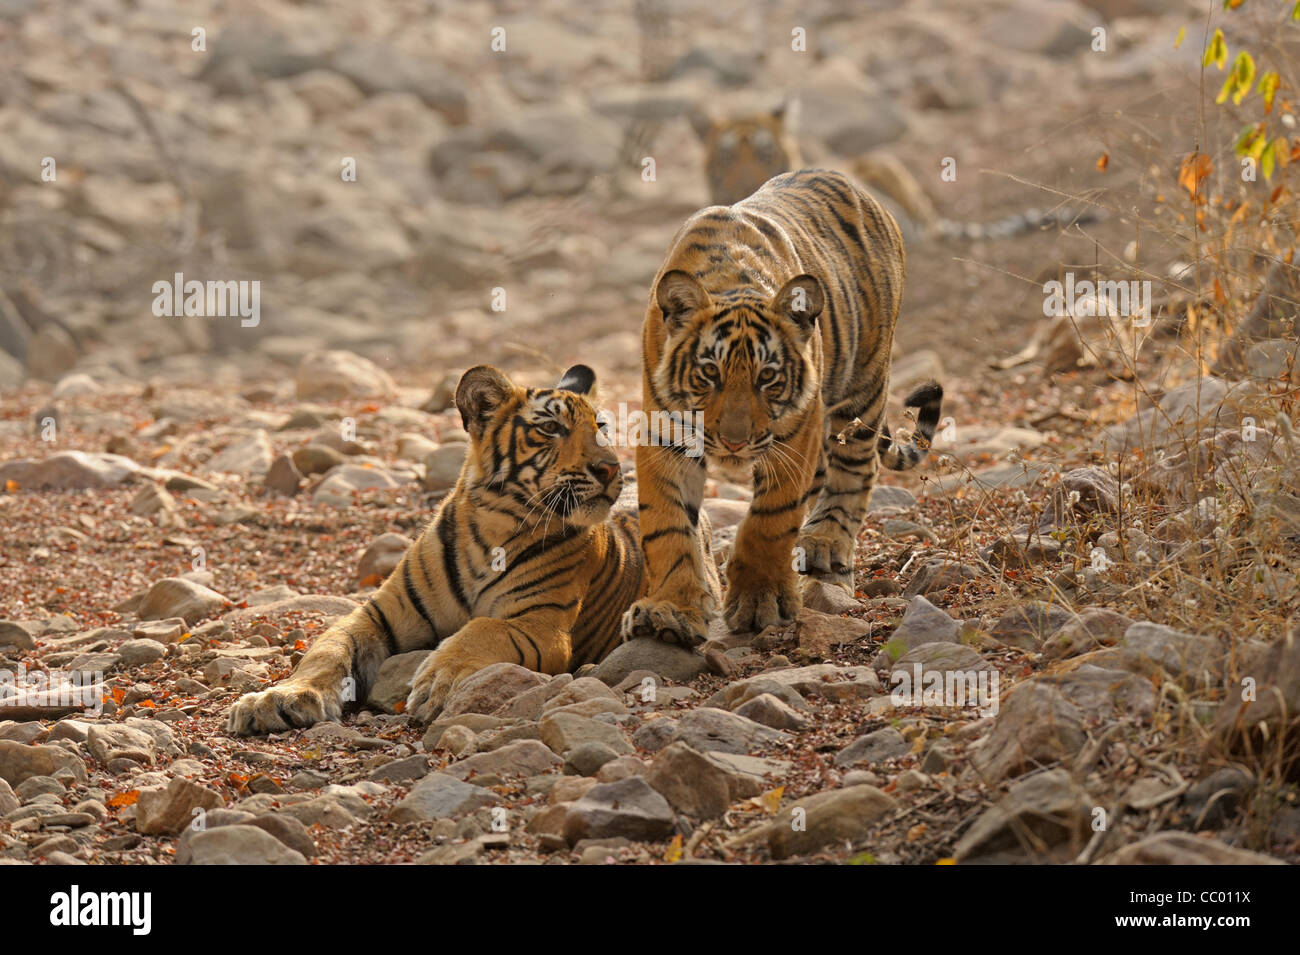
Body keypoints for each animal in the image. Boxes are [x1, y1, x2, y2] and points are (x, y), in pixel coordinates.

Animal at [224, 361, 712, 738]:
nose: (612, 468)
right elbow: (324, 653)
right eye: (551, 428)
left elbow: (482, 629)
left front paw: (438, 681)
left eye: (601, 428)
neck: (493, 528)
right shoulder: (374, 615)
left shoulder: (540, 624)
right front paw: (275, 700)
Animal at [624, 170, 941, 649]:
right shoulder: (664, 433)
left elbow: (769, 520)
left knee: (855, 471)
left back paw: (824, 542)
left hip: (863, 389)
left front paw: (761, 600)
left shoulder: (798, 432)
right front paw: (670, 609)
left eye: (767, 378)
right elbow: (668, 525)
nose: (734, 443)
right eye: (710, 374)